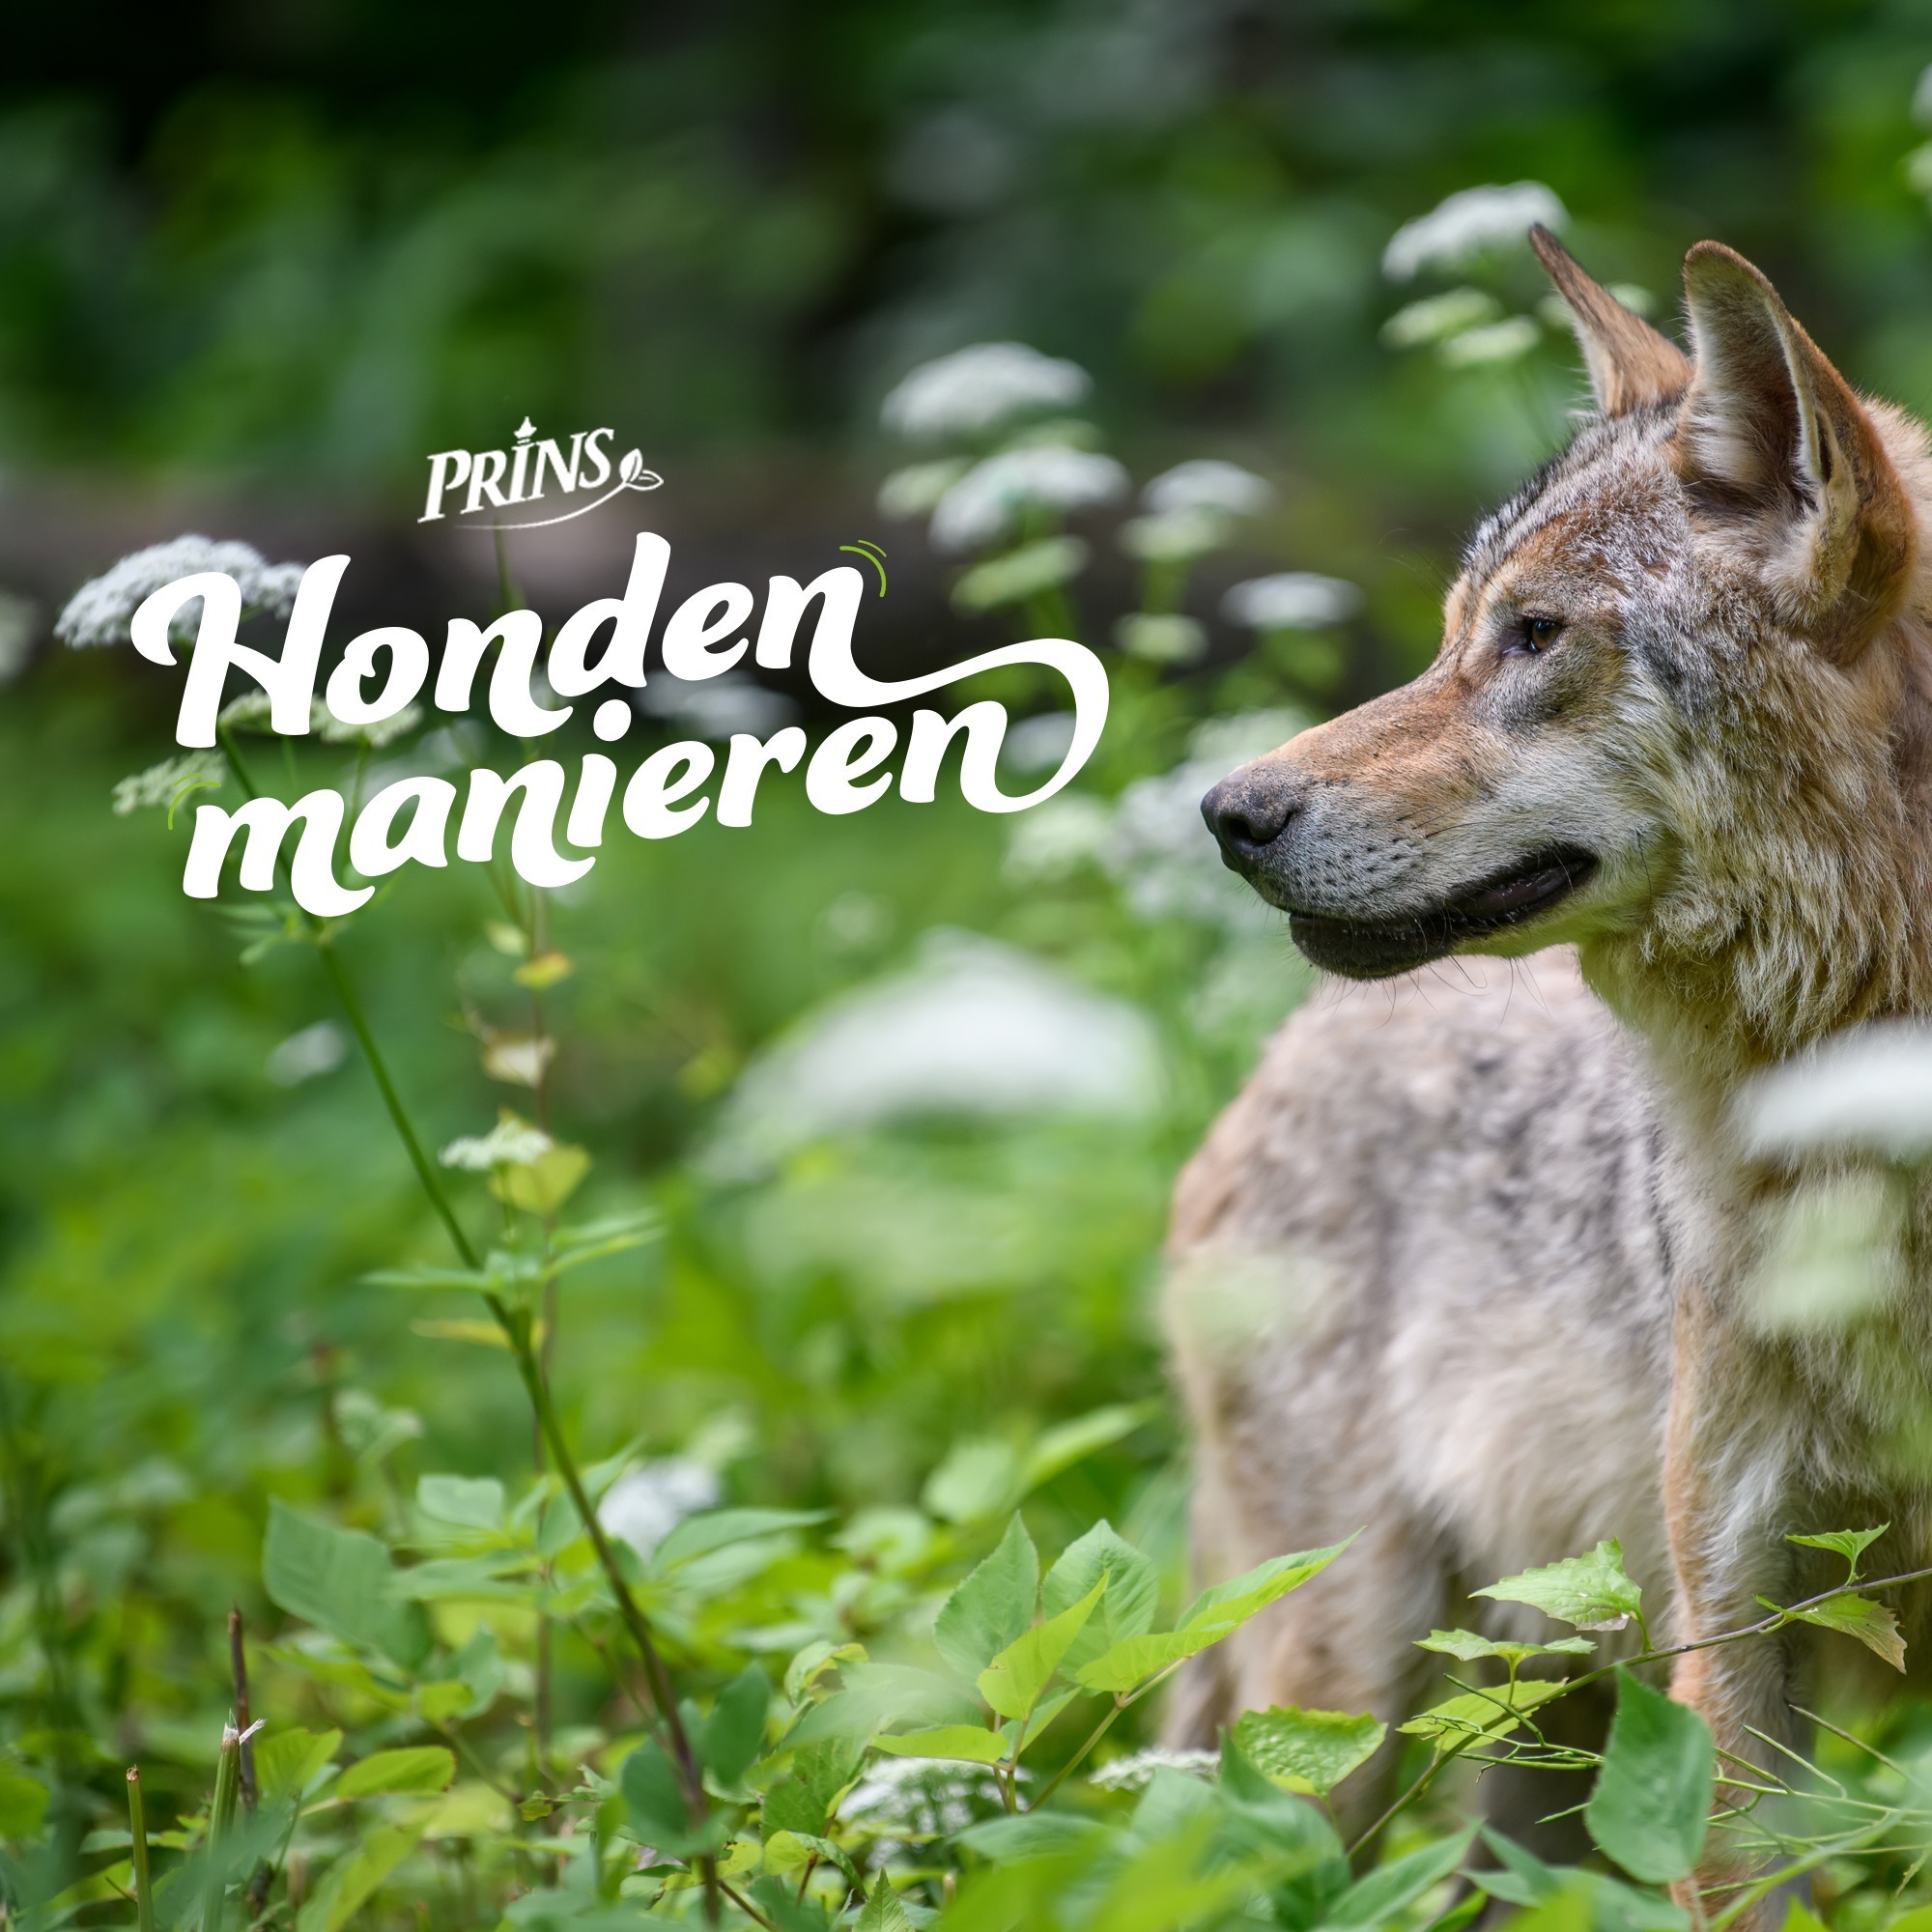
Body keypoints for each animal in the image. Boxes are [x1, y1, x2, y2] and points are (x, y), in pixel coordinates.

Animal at [1165, 226, 1932, 1902]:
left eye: (1532, 636)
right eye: (1459, 627)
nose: (1228, 815)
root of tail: (1269, 1062)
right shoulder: (1738, 1614)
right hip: (1348, 1717)